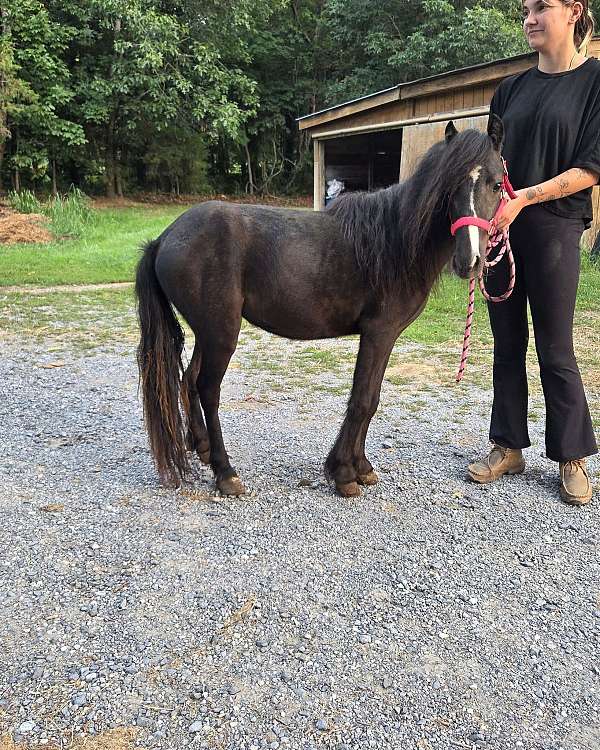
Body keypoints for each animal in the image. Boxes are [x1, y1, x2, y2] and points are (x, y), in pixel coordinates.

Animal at [135, 115, 506, 497]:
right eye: (449, 187)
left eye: (496, 184)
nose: (470, 261)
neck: (394, 242)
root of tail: (164, 239)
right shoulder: (378, 333)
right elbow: (362, 399)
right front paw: (344, 473)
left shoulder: (385, 337)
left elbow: (371, 398)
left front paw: (361, 467)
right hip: (221, 333)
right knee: (208, 389)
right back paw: (225, 473)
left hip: (208, 332)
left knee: (189, 381)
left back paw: (203, 448)